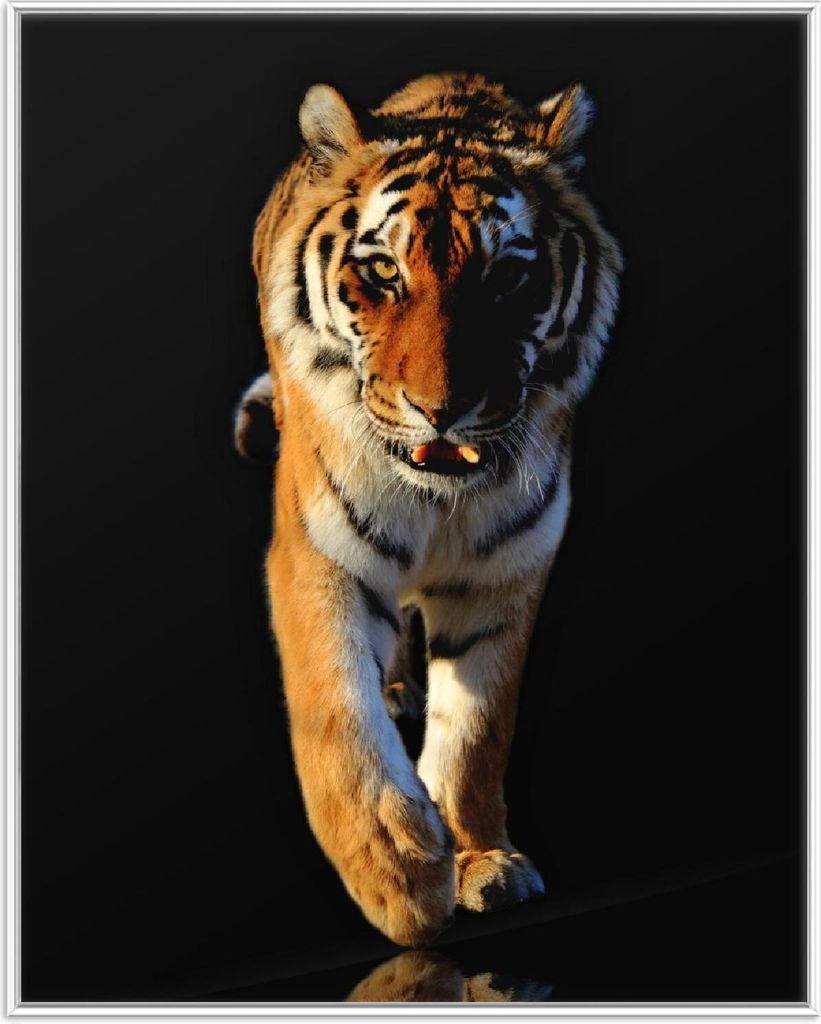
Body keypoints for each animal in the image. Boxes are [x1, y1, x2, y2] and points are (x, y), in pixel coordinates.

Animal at [236, 72, 621, 947]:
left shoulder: (506, 569)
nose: (440, 410)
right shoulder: (319, 552)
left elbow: (477, 728)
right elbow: (334, 711)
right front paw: (397, 873)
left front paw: (481, 860)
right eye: (382, 271)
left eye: (505, 276)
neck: (440, 499)